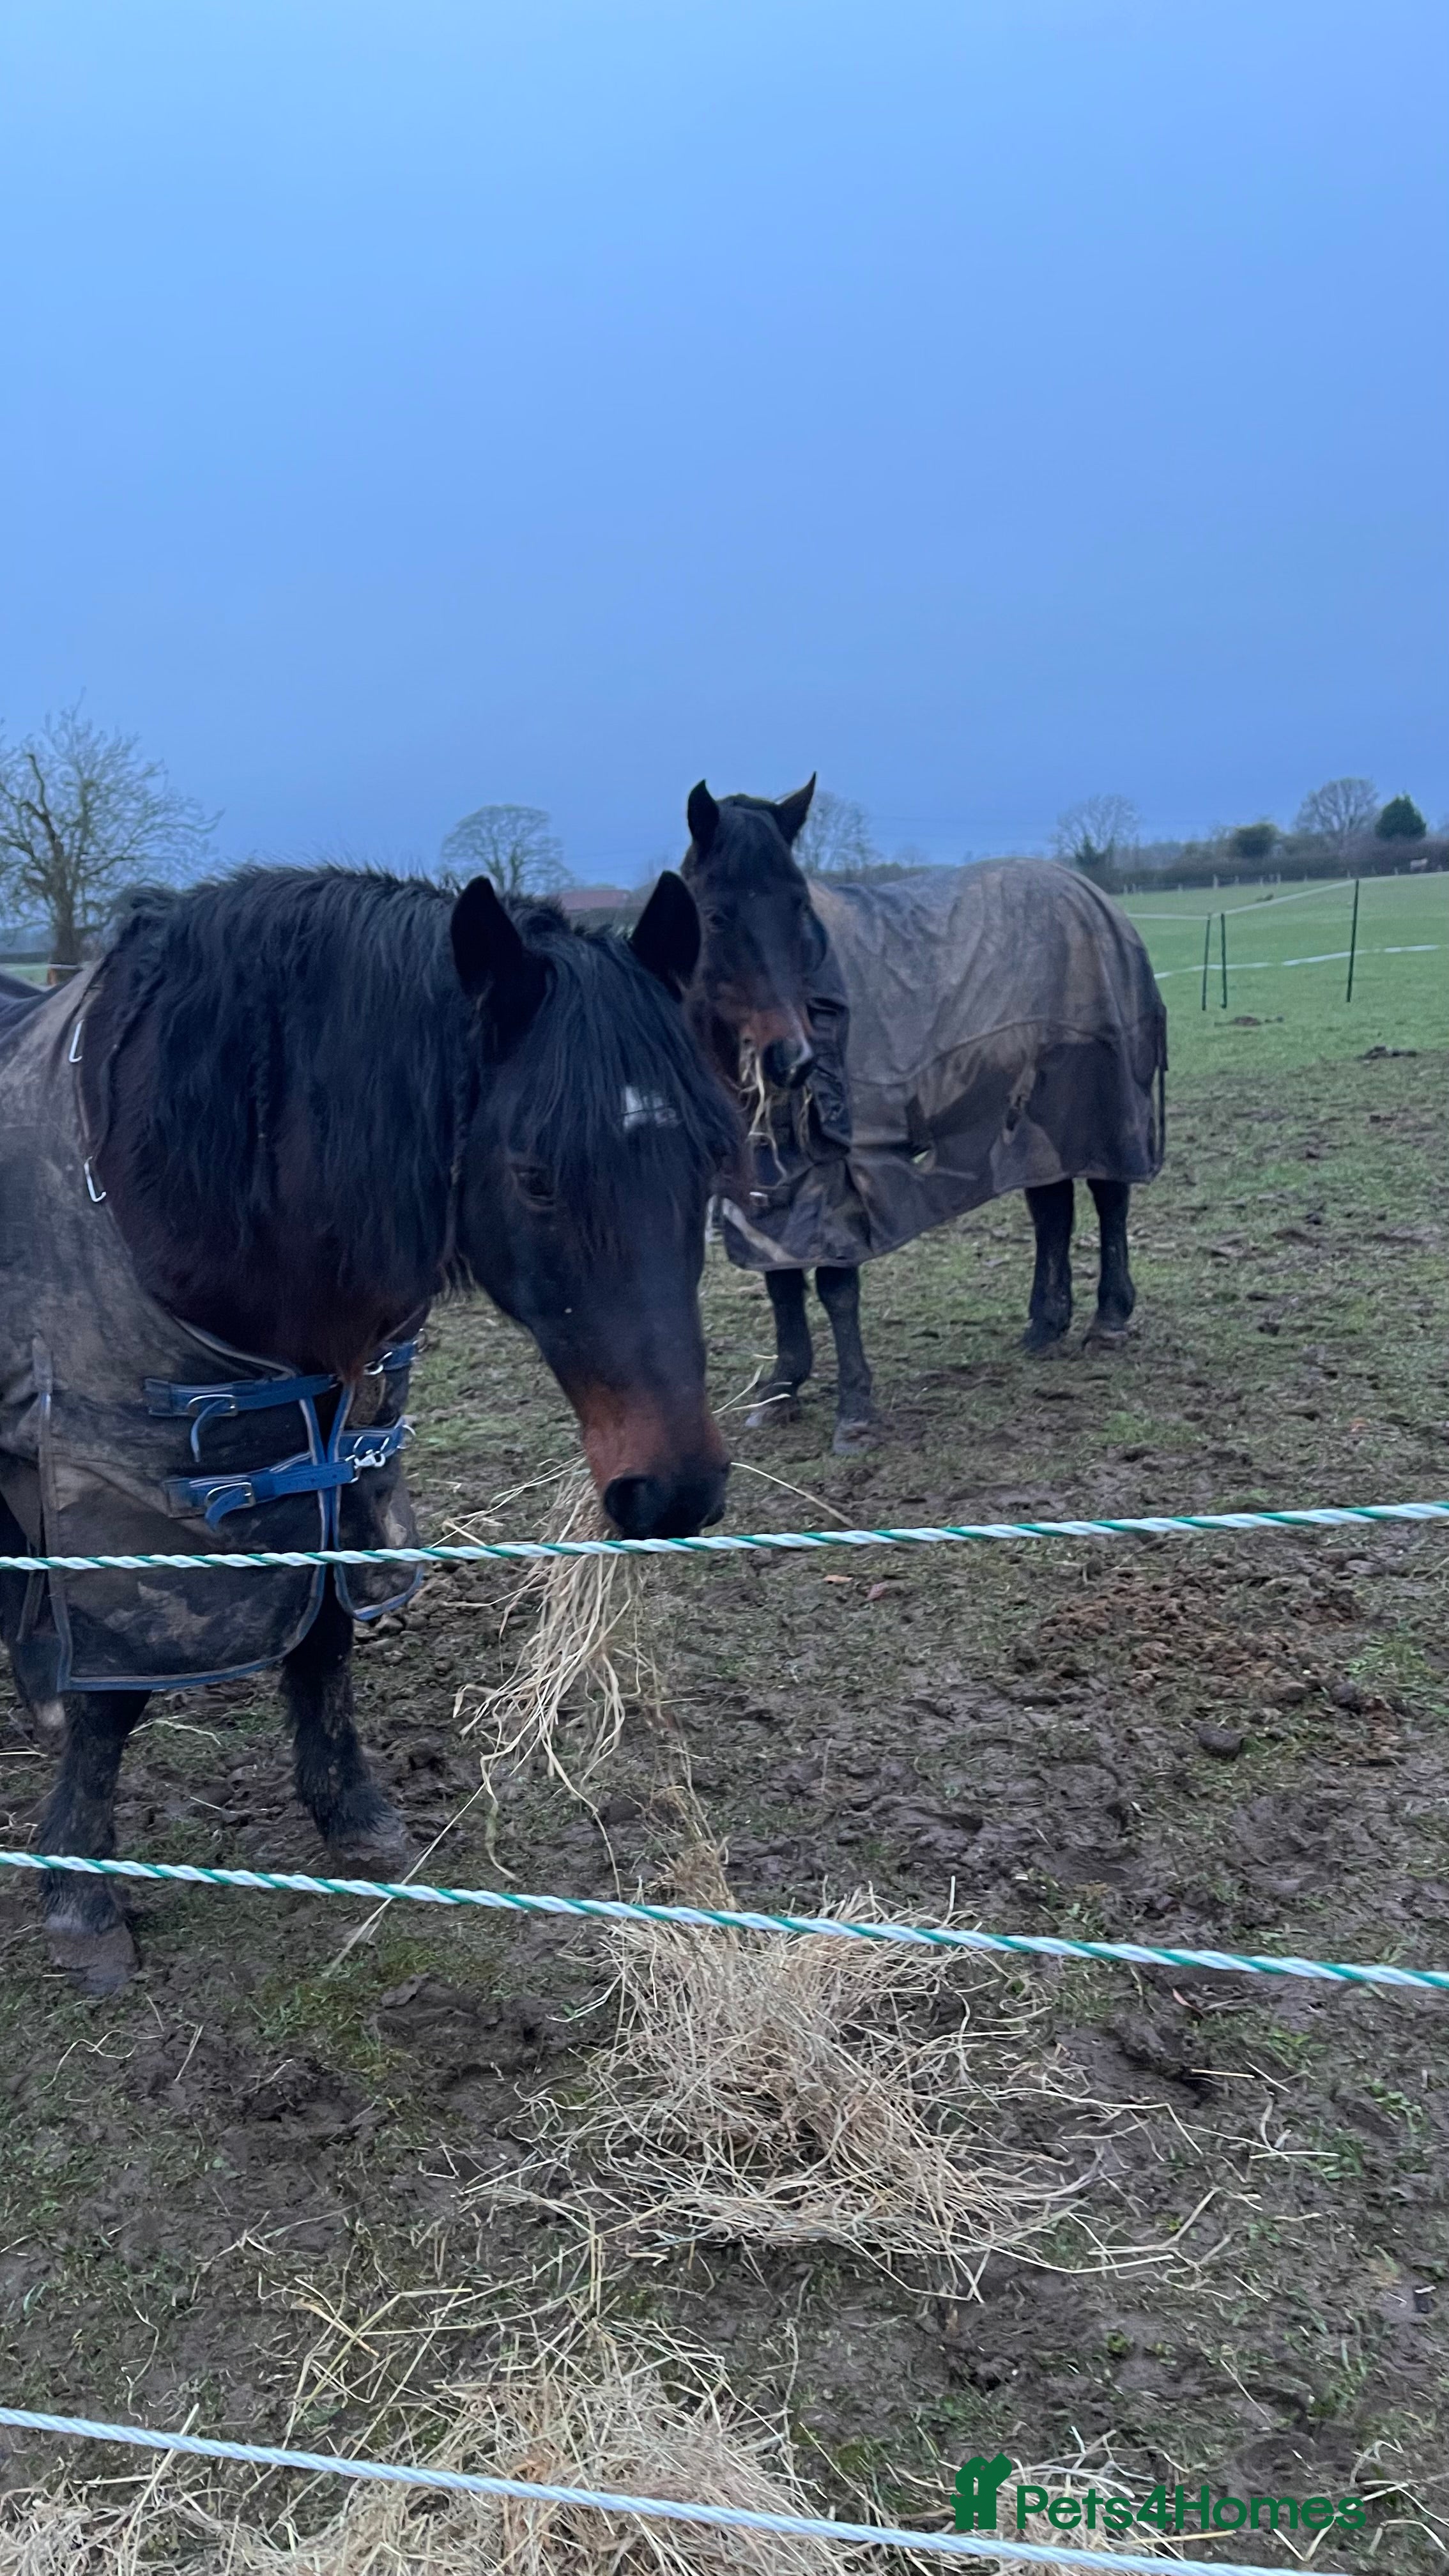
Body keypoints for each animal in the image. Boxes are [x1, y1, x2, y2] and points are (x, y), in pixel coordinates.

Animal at [0, 863, 738, 1989]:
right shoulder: (123, 1479)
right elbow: (119, 1689)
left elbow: (326, 1627)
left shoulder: (336, 1451)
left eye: (709, 1156)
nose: (677, 1488)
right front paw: (81, 1888)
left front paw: (349, 1810)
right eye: (534, 1175)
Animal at [680, 781, 1166, 1452]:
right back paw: (1045, 1326)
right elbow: (780, 1280)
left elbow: (835, 1286)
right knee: (1052, 1211)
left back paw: (1109, 1320)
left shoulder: (841, 1175)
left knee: (1109, 1196)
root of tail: (1093, 896)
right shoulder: (765, 1184)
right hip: (1032, 1121)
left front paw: (855, 1412)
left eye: (799, 905)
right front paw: (781, 1390)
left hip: (1100, 1103)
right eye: (715, 916)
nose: (793, 1058)